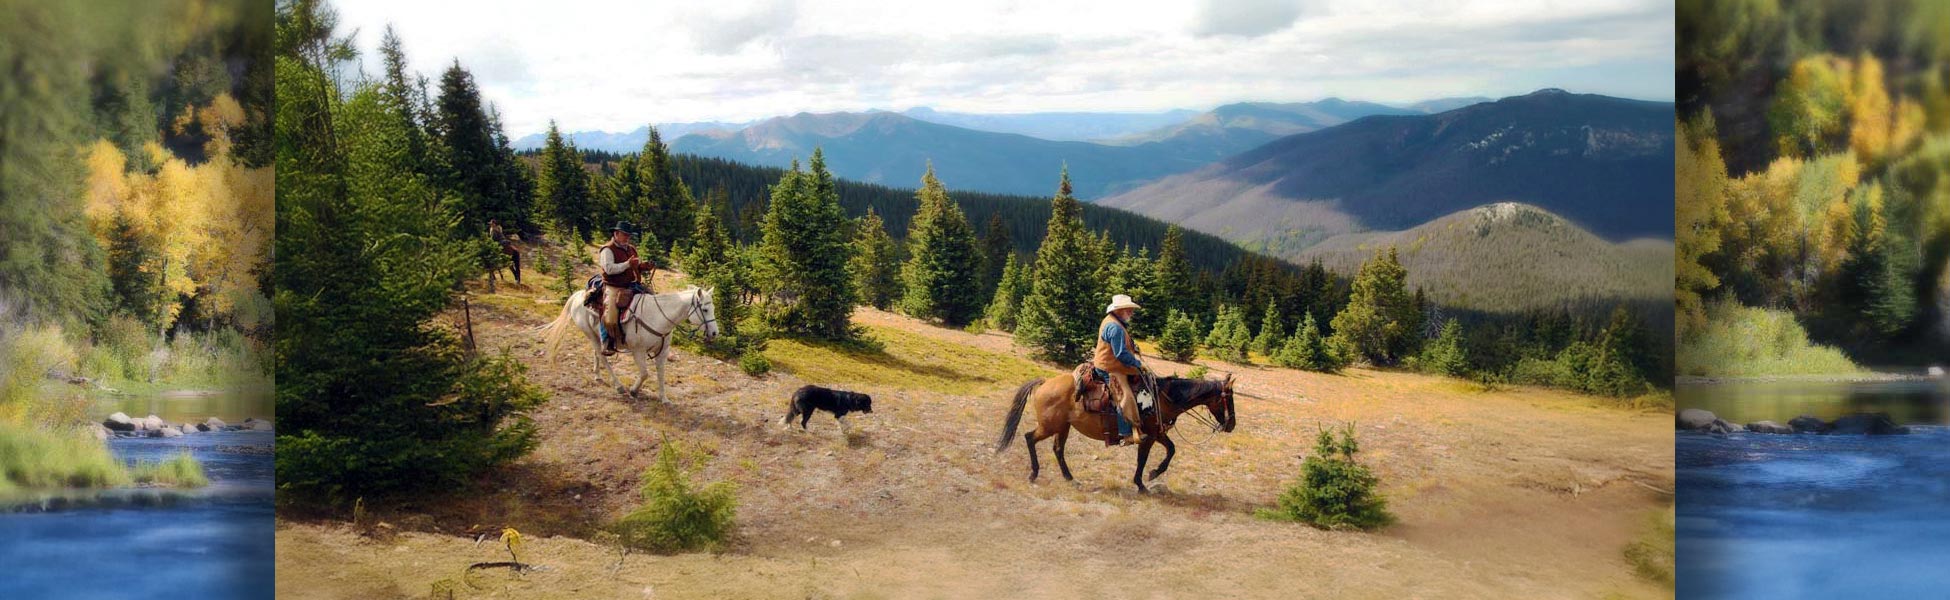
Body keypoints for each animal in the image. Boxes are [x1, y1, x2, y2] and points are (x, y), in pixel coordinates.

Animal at [546, 284, 721, 401]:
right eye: (705, 309)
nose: (714, 333)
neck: (657, 316)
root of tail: (578, 295)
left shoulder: (662, 352)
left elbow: (661, 374)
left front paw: (664, 398)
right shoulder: (638, 351)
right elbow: (644, 374)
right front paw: (634, 390)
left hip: (596, 335)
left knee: (597, 353)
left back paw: (597, 375)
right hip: (589, 334)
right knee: (602, 357)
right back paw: (619, 386)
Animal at [998, 370, 1240, 492]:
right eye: (1229, 398)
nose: (1231, 425)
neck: (1163, 397)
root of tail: (1045, 382)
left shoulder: (1158, 433)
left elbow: (1172, 450)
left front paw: (1154, 473)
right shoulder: (1148, 437)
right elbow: (1142, 460)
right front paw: (1141, 484)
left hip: (1063, 427)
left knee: (1058, 449)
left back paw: (1070, 479)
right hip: (1050, 426)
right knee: (1030, 438)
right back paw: (1034, 474)